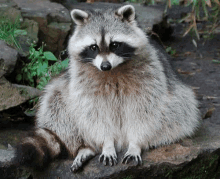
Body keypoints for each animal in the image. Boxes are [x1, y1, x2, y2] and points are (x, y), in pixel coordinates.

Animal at [13, 4, 199, 172]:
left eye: (115, 45)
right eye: (93, 47)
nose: (105, 66)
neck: (112, 71)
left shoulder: (149, 77)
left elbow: (144, 111)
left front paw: (135, 144)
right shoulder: (83, 83)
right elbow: (96, 114)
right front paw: (107, 144)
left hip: (178, 102)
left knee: (178, 110)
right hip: (62, 92)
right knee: (56, 105)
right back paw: (85, 147)